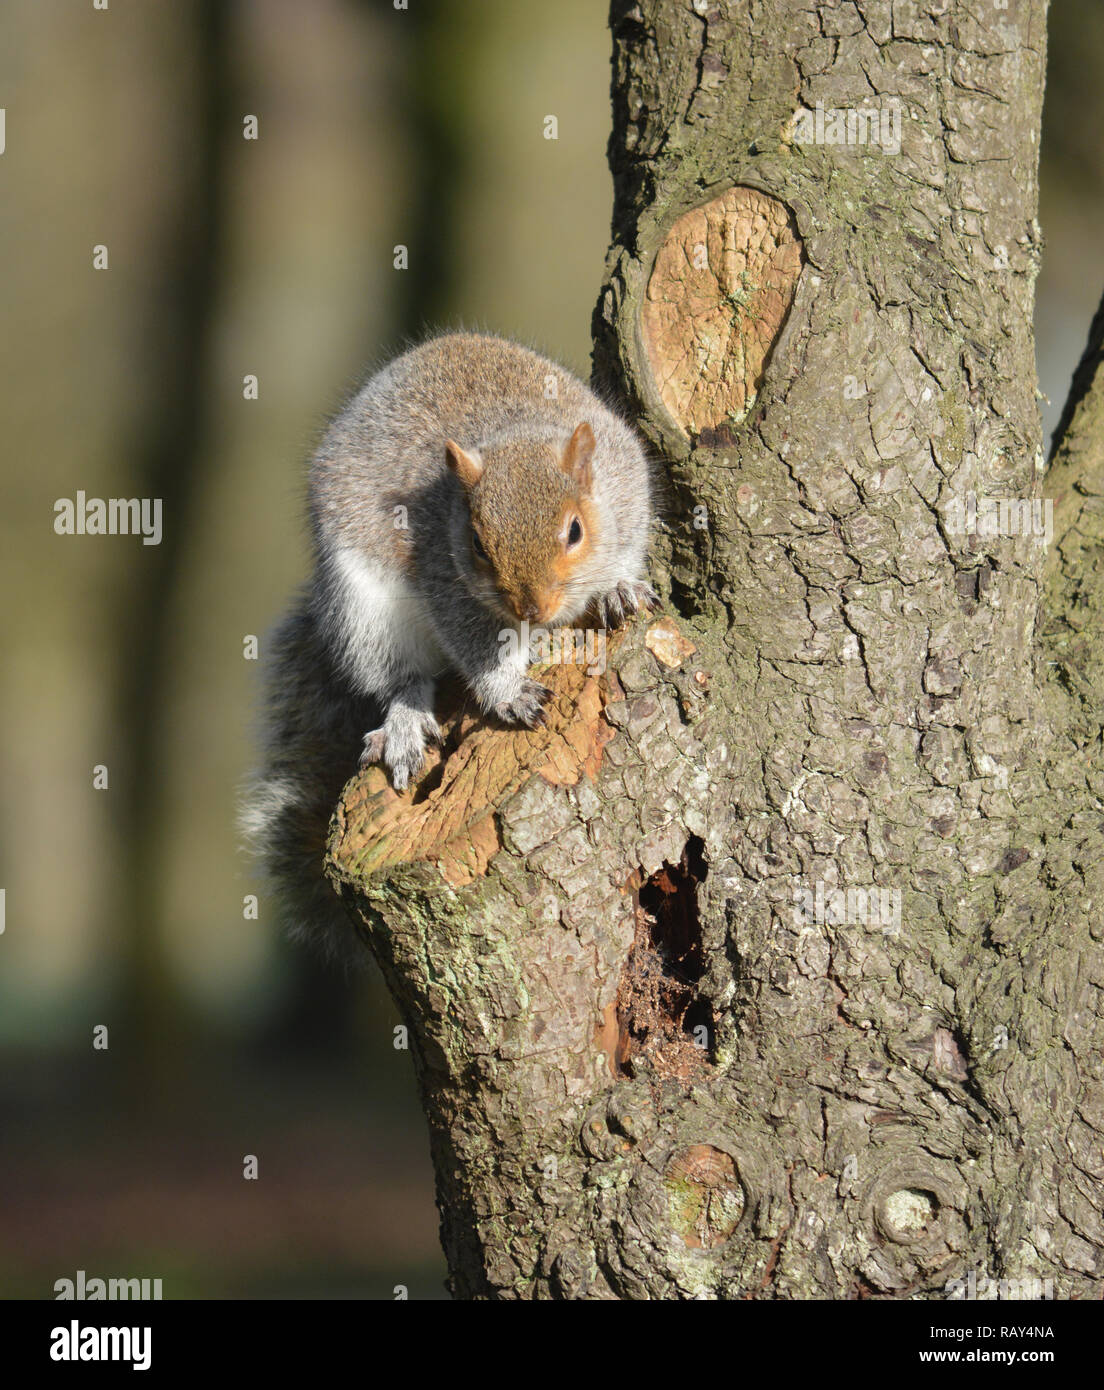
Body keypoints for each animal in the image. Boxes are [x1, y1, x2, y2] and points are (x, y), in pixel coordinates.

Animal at [243, 330, 653, 961]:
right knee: (403, 679)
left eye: (575, 531)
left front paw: (618, 590)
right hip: (364, 611)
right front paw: (507, 692)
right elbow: (476, 645)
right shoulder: (443, 574)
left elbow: (627, 553)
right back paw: (407, 722)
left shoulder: (629, 493)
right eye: (478, 545)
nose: (532, 610)